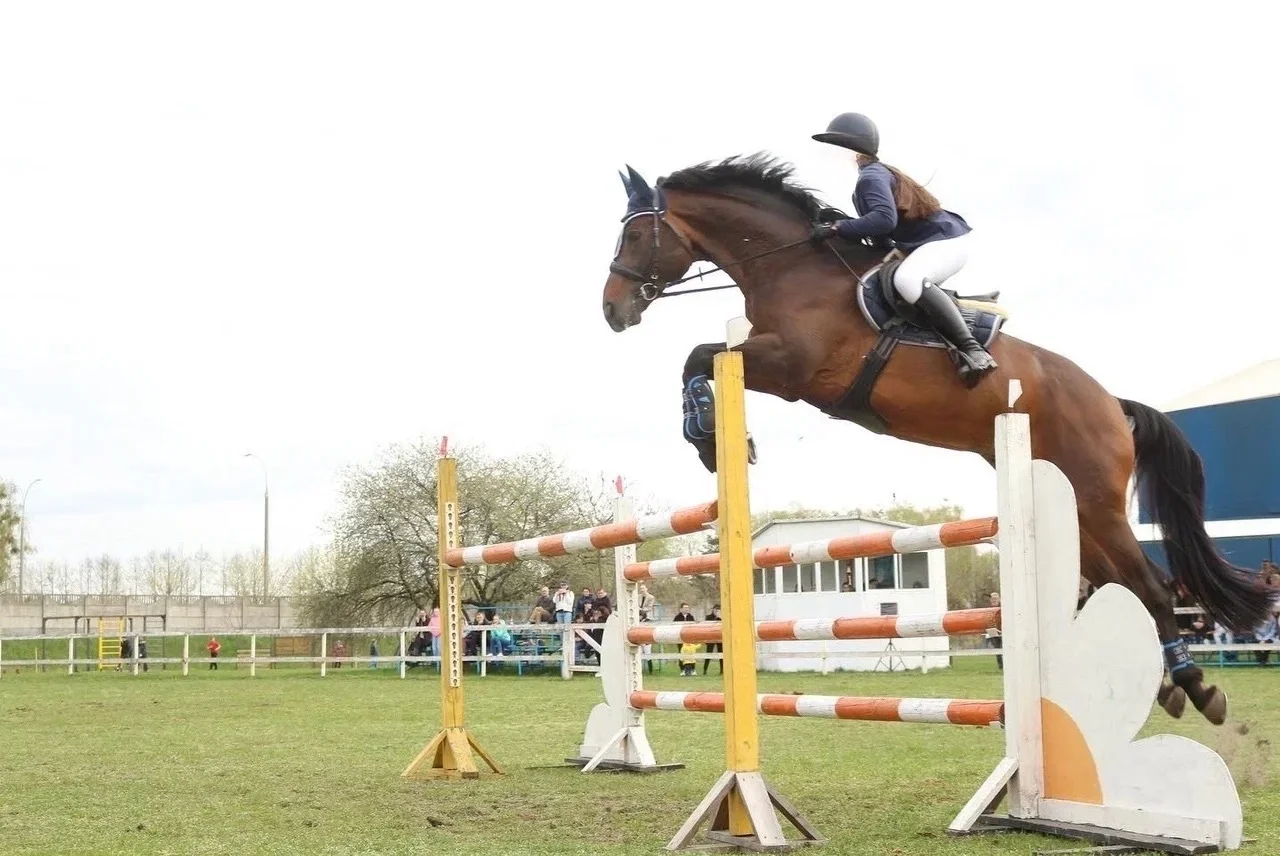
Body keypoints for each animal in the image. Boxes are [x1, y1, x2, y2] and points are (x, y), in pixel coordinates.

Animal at [600, 154, 1276, 726]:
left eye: (632, 237)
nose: (612, 311)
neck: (792, 267)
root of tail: (1113, 403)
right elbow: (703, 356)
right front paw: (713, 437)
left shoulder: (794, 368)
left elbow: (698, 354)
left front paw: (709, 438)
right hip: (1073, 509)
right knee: (1120, 586)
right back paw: (1164, 686)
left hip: (1099, 502)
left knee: (1153, 587)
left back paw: (1196, 688)